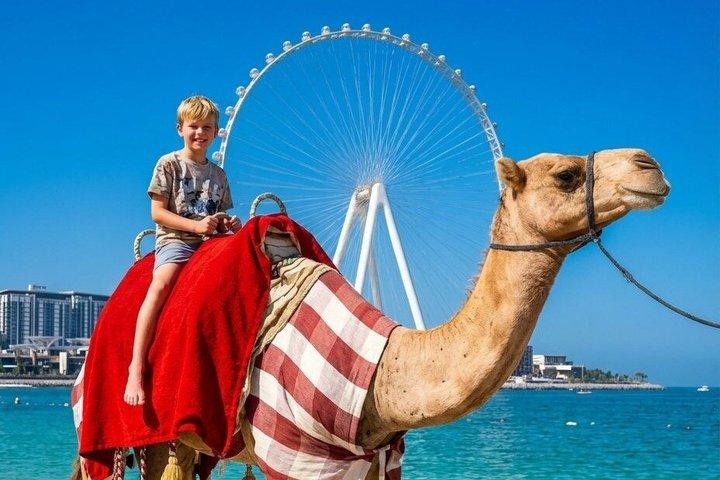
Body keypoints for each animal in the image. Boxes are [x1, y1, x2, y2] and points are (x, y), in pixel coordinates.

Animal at [73, 148, 669, 479]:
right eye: (566, 174)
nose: (651, 166)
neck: (380, 377)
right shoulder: (298, 459)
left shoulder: (372, 462)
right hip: (134, 424)